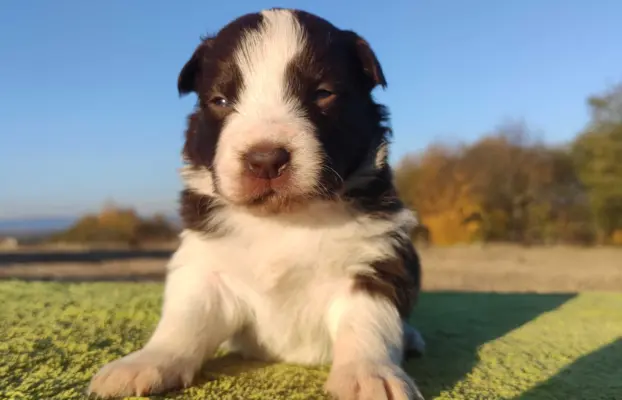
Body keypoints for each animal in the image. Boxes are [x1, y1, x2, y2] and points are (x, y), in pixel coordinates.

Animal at [88, 7, 426, 400]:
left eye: (323, 93)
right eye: (220, 100)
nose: (265, 159)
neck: (284, 219)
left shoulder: (375, 258)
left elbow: (369, 323)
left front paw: (368, 376)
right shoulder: (205, 266)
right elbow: (184, 319)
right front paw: (146, 362)